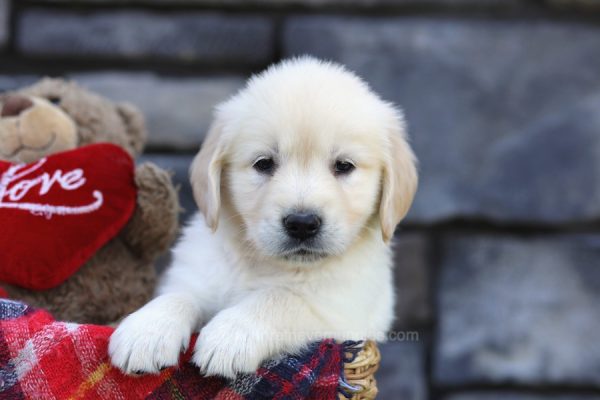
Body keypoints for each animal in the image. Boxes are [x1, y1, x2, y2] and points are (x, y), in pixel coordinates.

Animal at [109, 56, 418, 378]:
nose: (302, 224)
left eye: (344, 166)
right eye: (264, 163)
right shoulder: (197, 273)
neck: (267, 264)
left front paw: (231, 334)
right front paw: (147, 329)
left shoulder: (340, 309)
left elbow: (281, 298)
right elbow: (182, 294)